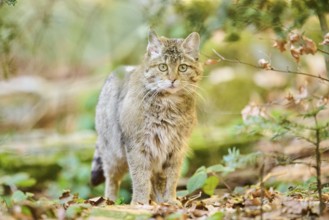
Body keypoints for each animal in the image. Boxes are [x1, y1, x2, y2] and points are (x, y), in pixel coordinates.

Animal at [90, 29, 202, 205]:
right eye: (163, 67)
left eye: (183, 67)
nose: (172, 80)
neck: (169, 104)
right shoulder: (137, 145)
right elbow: (140, 178)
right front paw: (139, 203)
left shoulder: (175, 148)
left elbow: (171, 178)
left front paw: (169, 200)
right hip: (113, 152)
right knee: (112, 179)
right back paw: (109, 201)